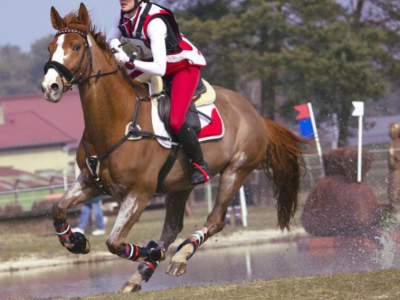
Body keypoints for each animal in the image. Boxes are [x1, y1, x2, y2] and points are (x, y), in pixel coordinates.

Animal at [41, 2, 306, 292]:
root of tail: (256, 115)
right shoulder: (91, 183)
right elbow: (58, 208)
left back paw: (178, 255)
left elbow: (114, 241)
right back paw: (142, 273)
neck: (117, 122)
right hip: (180, 184)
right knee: (172, 227)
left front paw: (151, 251)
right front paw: (75, 241)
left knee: (215, 220)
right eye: (50, 47)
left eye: (77, 46)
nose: (50, 87)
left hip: (236, 170)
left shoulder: (139, 193)